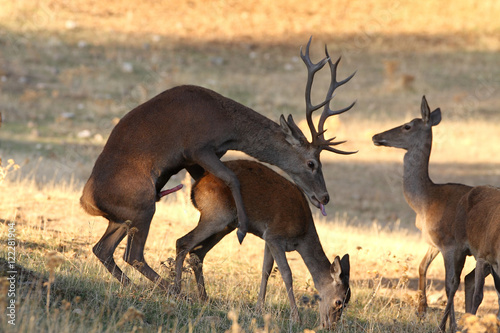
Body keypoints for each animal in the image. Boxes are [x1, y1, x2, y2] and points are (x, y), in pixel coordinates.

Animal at [80, 37, 356, 290]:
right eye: (311, 163)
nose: (324, 196)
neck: (226, 126)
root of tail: (87, 203)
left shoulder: (198, 158)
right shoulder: (197, 147)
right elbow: (231, 178)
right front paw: (241, 228)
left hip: (122, 217)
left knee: (103, 249)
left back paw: (137, 287)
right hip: (142, 205)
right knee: (133, 254)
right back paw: (171, 289)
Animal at [176, 160, 352, 328]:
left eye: (347, 302)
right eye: (338, 302)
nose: (329, 326)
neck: (302, 236)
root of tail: (195, 186)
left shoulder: (268, 239)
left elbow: (266, 269)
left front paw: (258, 308)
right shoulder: (275, 236)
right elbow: (287, 274)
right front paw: (296, 319)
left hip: (226, 223)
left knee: (197, 252)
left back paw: (204, 298)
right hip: (217, 215)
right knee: (182, 242)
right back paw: (177, 292)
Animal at [374, 95, 474, 330]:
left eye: (407, 126)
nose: (376, 136)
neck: (425, 202)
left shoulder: (451, 244)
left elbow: (451, 283)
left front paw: (447, 326)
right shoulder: (433, 241)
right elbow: (422, 266)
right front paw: (421, 310)